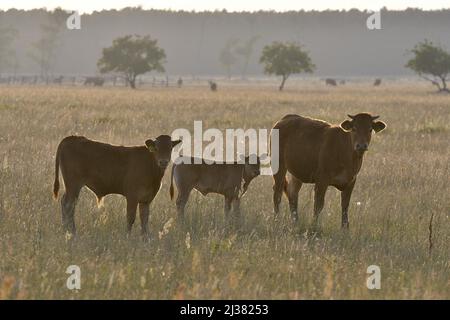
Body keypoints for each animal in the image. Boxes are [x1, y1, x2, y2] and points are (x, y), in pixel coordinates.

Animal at [54, 135, 183, 235]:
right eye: (156, 148)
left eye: (170, 148)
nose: (163, 161)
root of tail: (72, 138)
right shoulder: (132, 196)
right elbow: (130, 218)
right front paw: (128, 237)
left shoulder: (146, 200)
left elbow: (144, 220)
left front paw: (145, 238)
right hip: (73, 185)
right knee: (68, 205)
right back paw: (71, 231)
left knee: (65, 203)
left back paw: (67, 230)